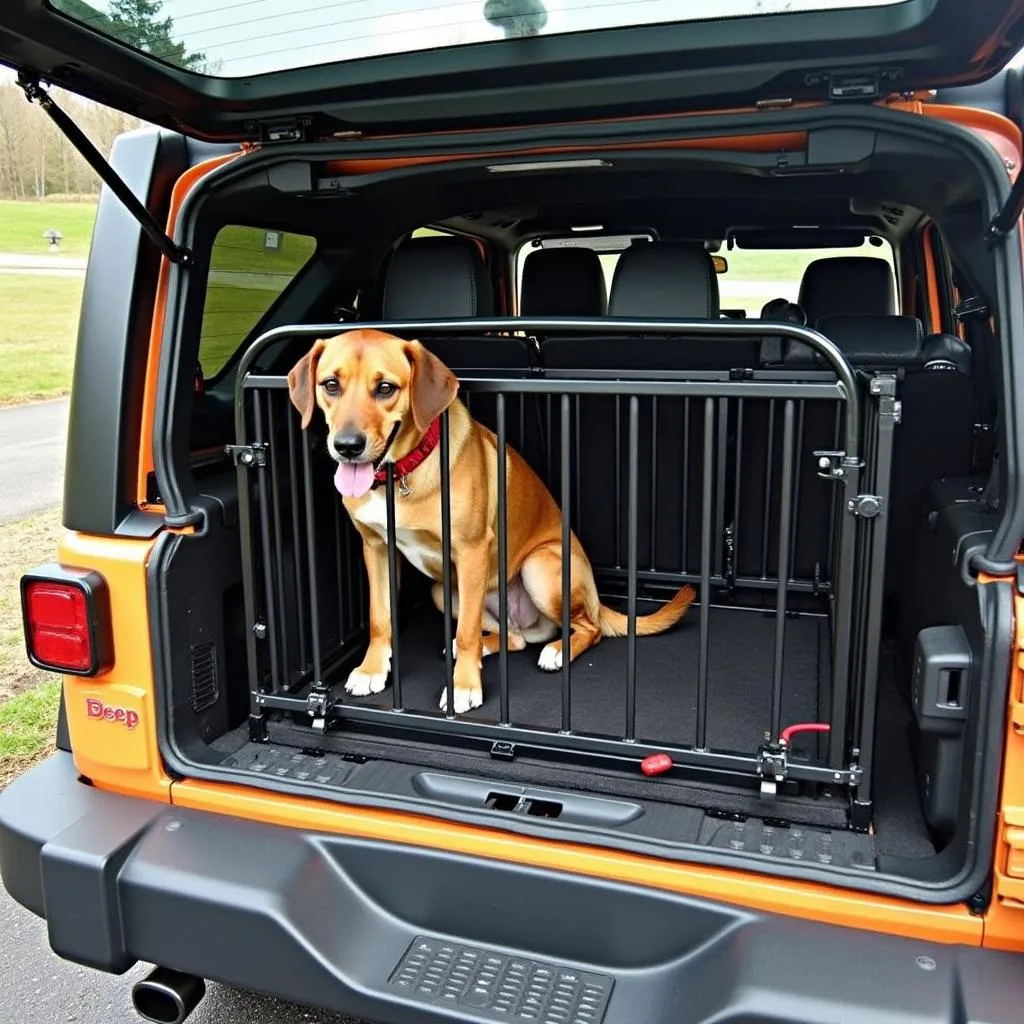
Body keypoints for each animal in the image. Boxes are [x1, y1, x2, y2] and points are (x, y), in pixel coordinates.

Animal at [288, 327, 696, 712]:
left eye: (385, 387)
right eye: (331, 384)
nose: (347, 447)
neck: (402, 474)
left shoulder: (471, 551)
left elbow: (468, 630)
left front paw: (465, 687)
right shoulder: (375, 548)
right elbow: (379, 618)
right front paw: (373, 669)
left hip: (540, 567)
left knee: (589, 628)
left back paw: (557, 651)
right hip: (444, 593)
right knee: (514, 639)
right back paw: (483, 644)